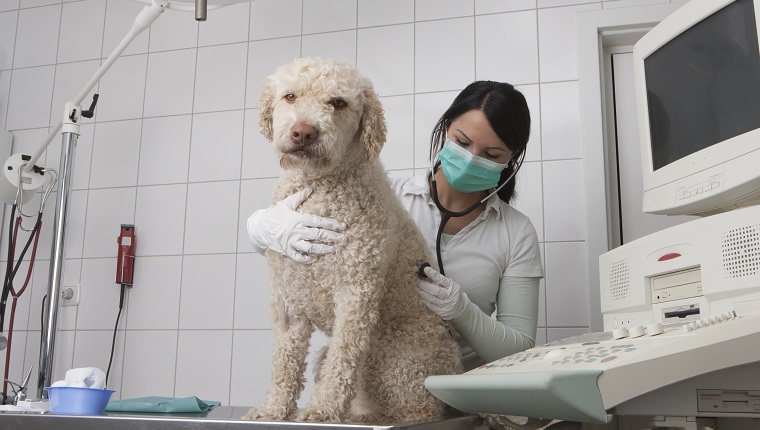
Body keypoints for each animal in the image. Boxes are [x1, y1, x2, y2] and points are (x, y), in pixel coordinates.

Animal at [243, 57, 460, 424]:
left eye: (338, 102)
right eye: (290, 96)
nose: (304, 132)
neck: (321, 186)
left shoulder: (356, 294)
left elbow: (343, 359)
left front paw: (323, 409)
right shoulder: (288, 298)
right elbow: (284, 361)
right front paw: (274, 408)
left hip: (392, 352)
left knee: (418, 407)